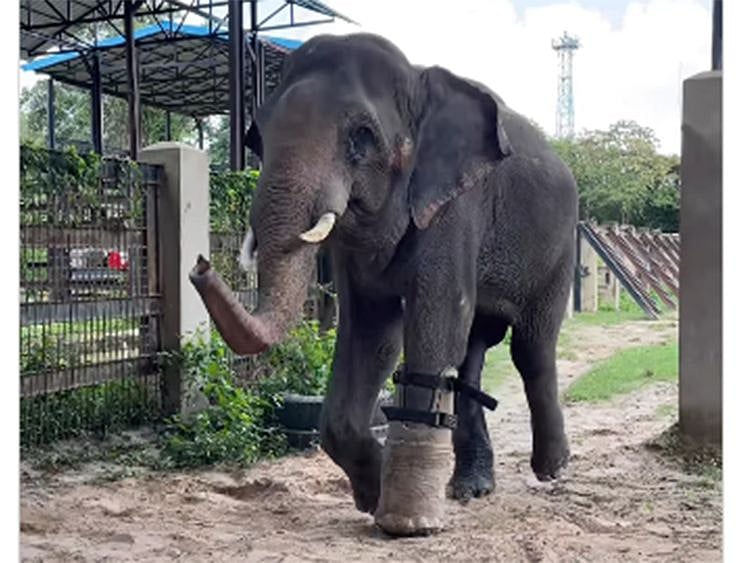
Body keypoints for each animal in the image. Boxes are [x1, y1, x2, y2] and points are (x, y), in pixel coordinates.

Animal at [190, 32, 578, 536]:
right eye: (254, 138)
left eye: (362, 137)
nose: (200, 265)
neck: (418, 78)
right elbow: (372, 333)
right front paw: (373, 498)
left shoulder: (454, 206)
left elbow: (436, 323)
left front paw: (407, 523)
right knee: (472, 356)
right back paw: (470, 489)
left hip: (561, 246)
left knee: (530, 347)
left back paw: (551, 469)